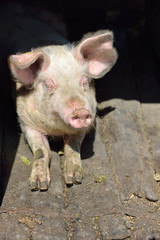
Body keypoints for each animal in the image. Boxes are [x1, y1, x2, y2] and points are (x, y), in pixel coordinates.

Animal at [8, 30, 117, 191]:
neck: (56, 130)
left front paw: (74, 180)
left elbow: (72, 145)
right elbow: (41, 150)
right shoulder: (26, 122)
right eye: (49, 84)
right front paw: (38, 186)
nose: (80, 111)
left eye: (84, 81)